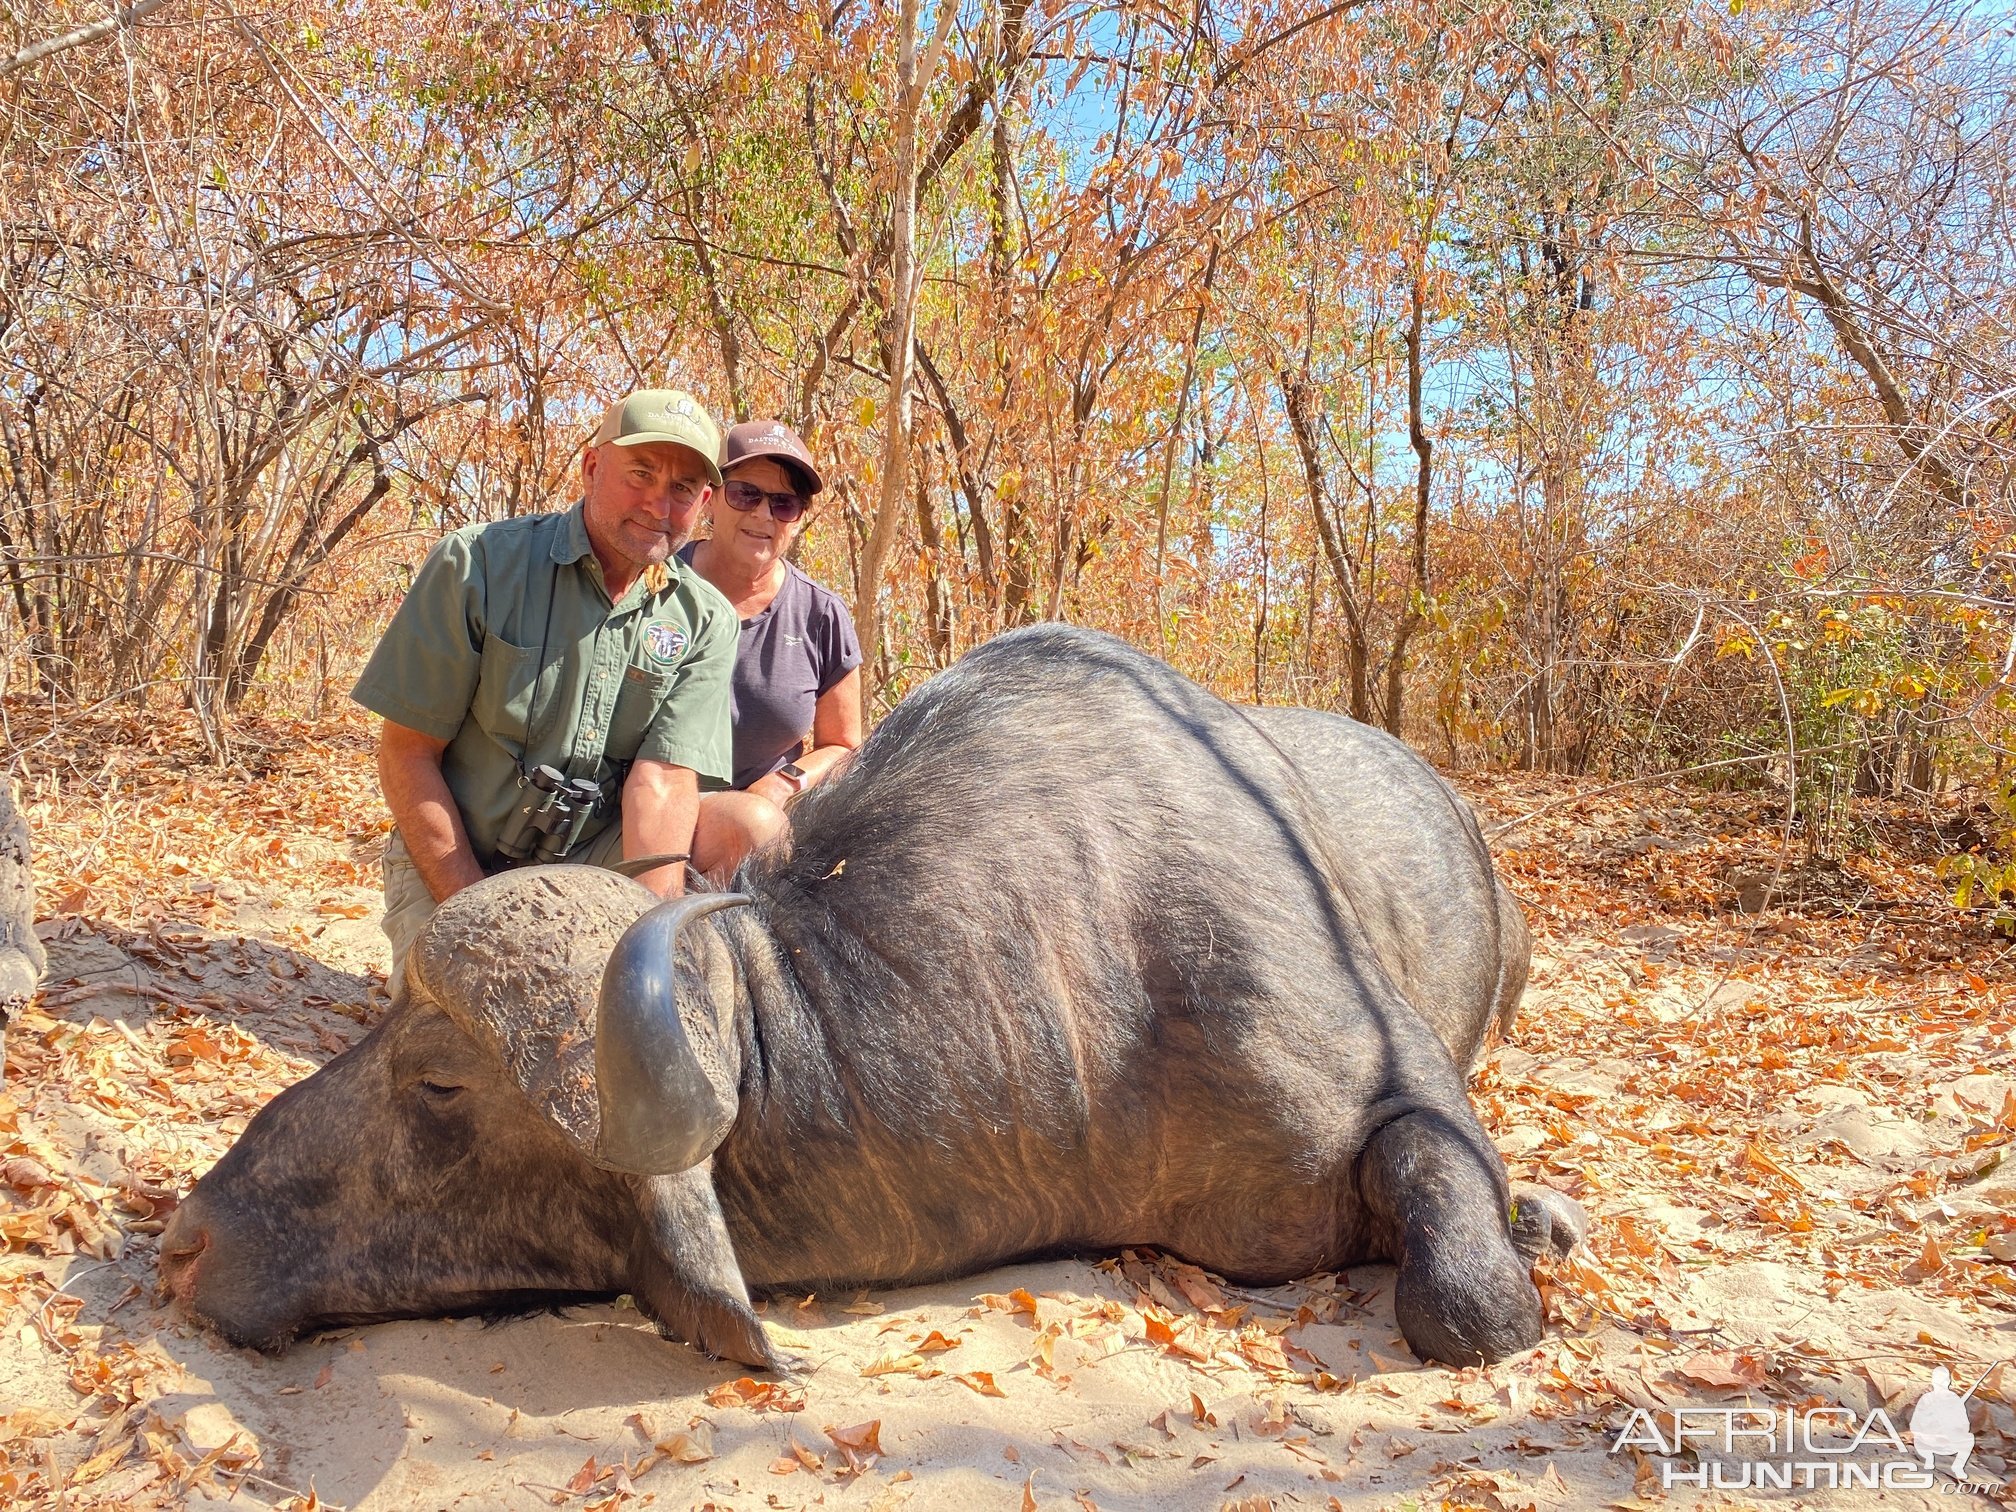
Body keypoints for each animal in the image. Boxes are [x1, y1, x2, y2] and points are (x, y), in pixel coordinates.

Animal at [161, 628, 1572, 1370]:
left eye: (439, 1081)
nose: (182, 1243)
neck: (1102, 964)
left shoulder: (1405, 1100)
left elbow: (1472, 1308)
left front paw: (1523, 1231)